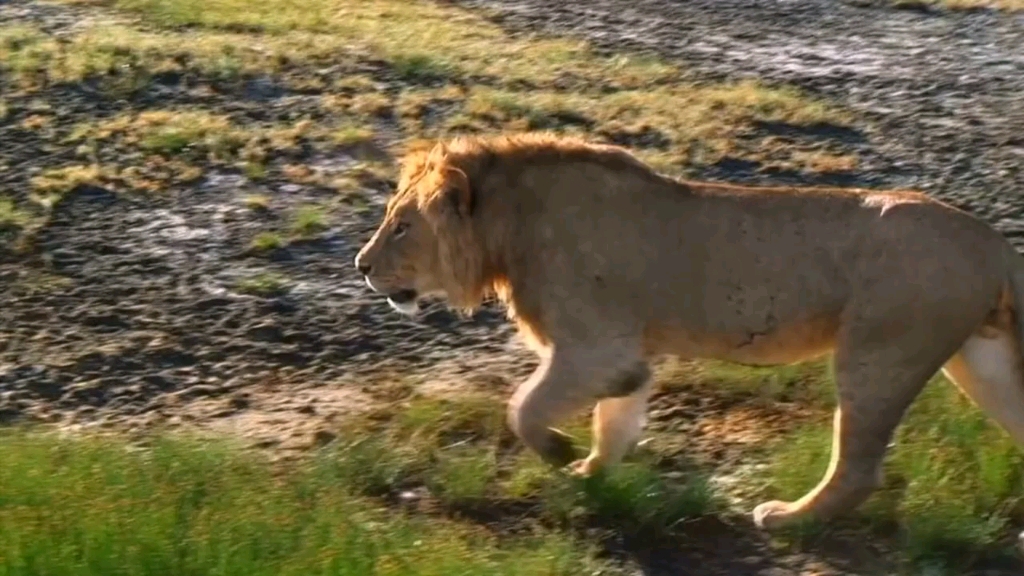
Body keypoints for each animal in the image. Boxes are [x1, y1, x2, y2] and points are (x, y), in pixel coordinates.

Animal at [354, 131, 1024, 528]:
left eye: (402, 227)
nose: (360, 266)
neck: (507, 230)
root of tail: (993, 242)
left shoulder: (595, 350)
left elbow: (523, 408)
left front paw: (560, 453)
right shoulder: (624, 355)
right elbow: (615, 422)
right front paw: (590, 476)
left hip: (879, 353)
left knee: (857, 468)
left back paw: (788, 517)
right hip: (981, 360)